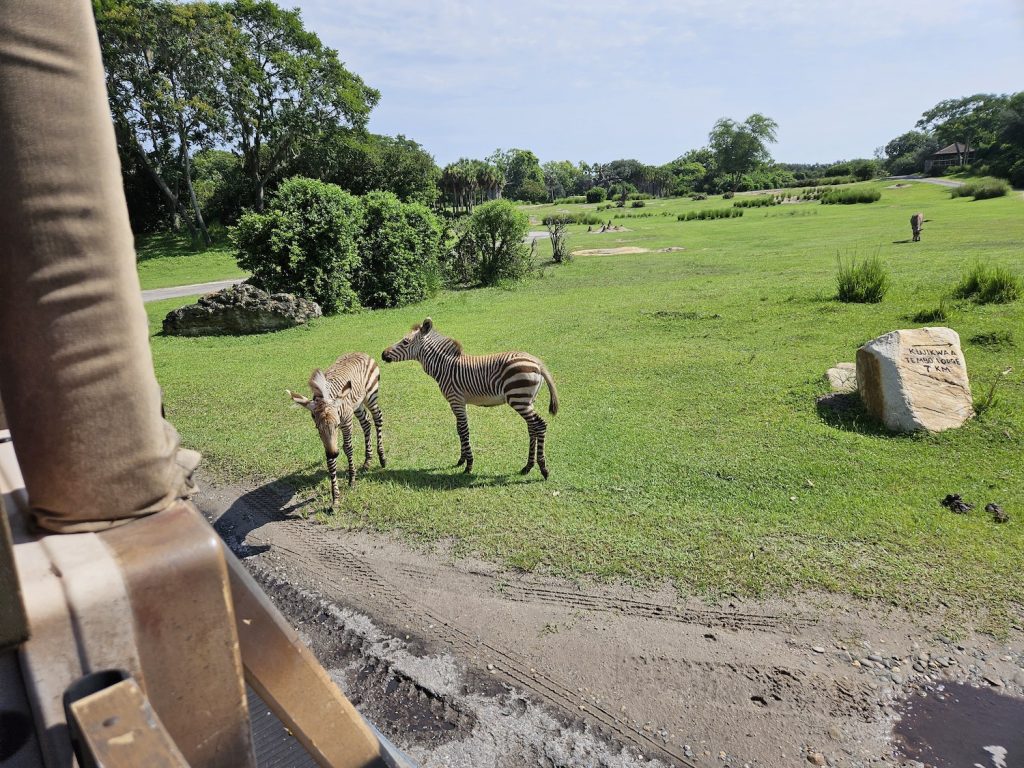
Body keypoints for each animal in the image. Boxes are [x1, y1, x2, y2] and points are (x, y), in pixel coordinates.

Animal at [286, 354, 385, 505]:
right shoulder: (328, 441)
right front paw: (335, 497)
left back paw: (382, 458)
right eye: (317, 428)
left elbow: (348, 448)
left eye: (337, 425)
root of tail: (360, 353)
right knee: (366, 423)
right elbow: (330, 461)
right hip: (357, 405)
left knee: (378, 418)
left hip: (371, 396)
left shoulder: (346, 422)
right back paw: (367, 461)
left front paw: (352, 480)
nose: (333, 453)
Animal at [382, 317, 561, 479]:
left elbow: (463, 430)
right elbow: (459, 429)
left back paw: (543, 469)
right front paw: (461, 460)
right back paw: (527, 467)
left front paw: (468, 465)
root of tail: (537, 362)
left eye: (405, 342)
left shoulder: (456, 400)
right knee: (532, 428)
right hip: (527, 401)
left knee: (540, 425)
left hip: (518, 399)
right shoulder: (459, 403)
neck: (445, 367)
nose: (383, 354)